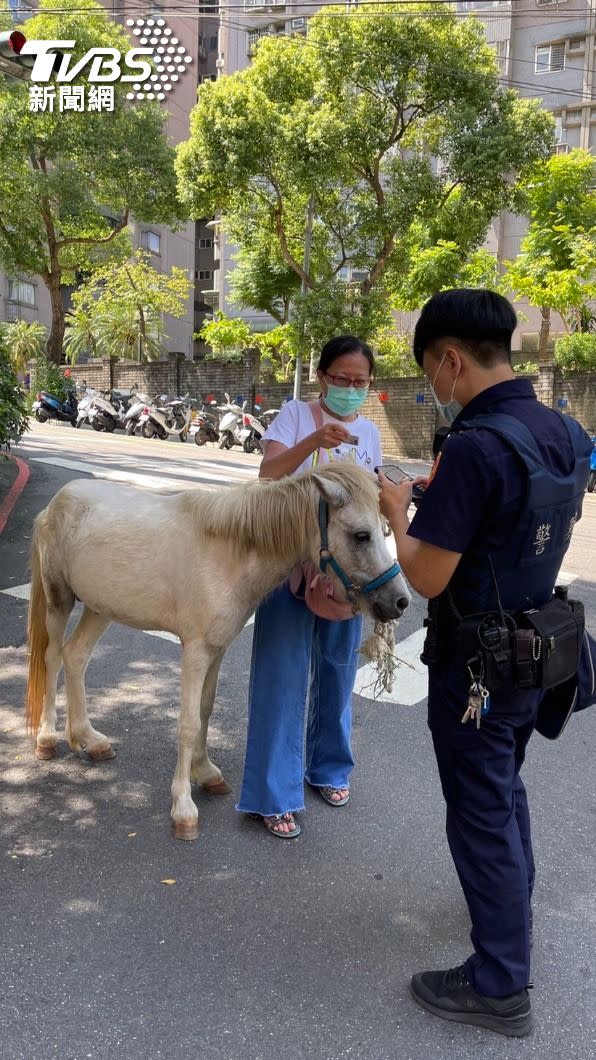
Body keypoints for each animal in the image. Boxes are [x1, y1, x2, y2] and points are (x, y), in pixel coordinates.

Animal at [26, 468, 407, 839]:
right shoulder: (195, 651)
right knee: (53, 658)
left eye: (384, 530)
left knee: (76, 657)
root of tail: (55, 504)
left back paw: (89, 739)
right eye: (361, 535)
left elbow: (205, 710)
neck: (228, 553)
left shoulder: (217, 647)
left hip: (99, 608)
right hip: (60, 600)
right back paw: (47, 739)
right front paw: (183, 807)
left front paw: (206, 773)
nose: (400, 601)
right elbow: (188, 722)